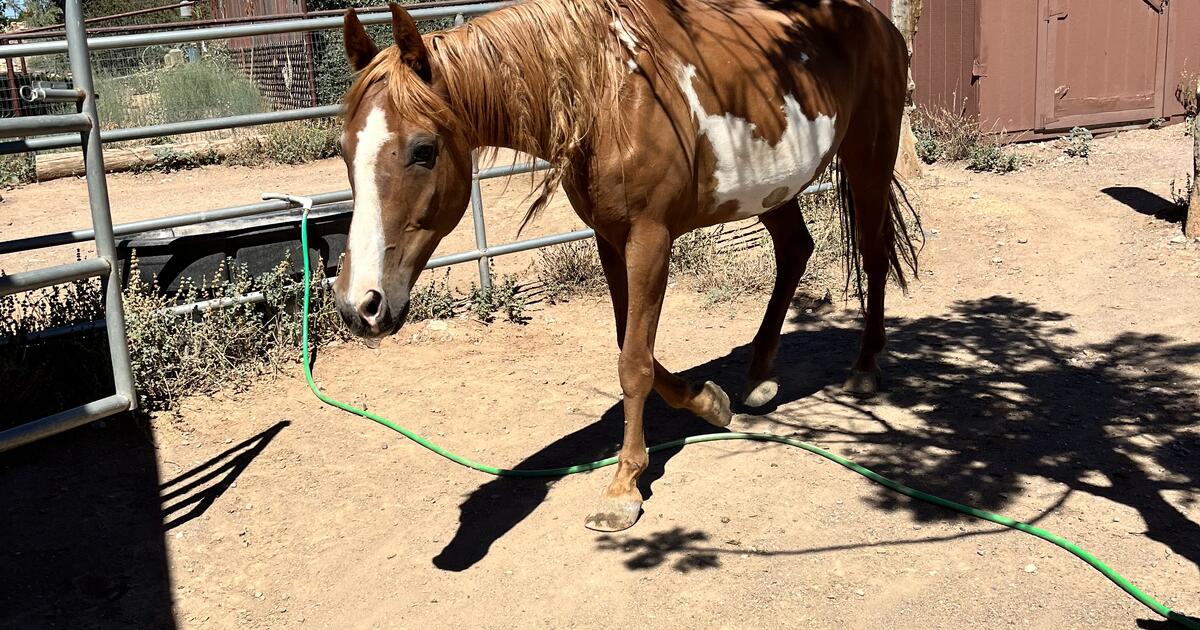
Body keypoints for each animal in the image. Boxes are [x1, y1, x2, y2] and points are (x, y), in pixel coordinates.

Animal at [331, 0, 920, 532]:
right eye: (343, 150)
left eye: (423, 150)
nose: (361, 305)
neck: (609, 97)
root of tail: (875, 20)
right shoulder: (611, 241)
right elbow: (632, 347)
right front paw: (709, 402)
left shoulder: (649, 240)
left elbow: (634, 363)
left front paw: (623, 488)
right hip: (773, 187)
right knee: (796, 250)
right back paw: (758, 378)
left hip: (869, 159)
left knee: (873, 254)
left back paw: (864, 368)